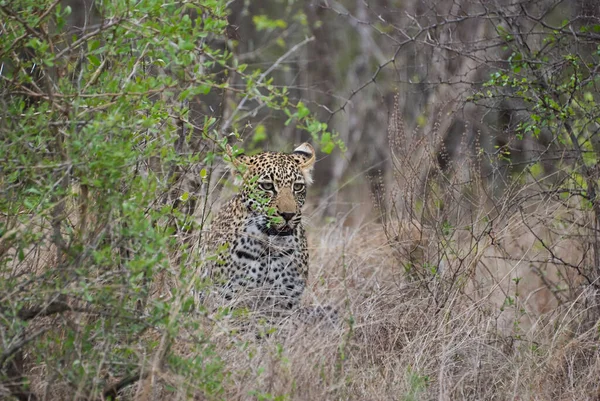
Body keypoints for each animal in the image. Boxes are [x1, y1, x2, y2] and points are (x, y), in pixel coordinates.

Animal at [202, 142, 318, 314]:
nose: (288, 215)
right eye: (267, 186)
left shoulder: (286, 302)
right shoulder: (227, 296)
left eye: (297, 187)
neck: (269, 247)